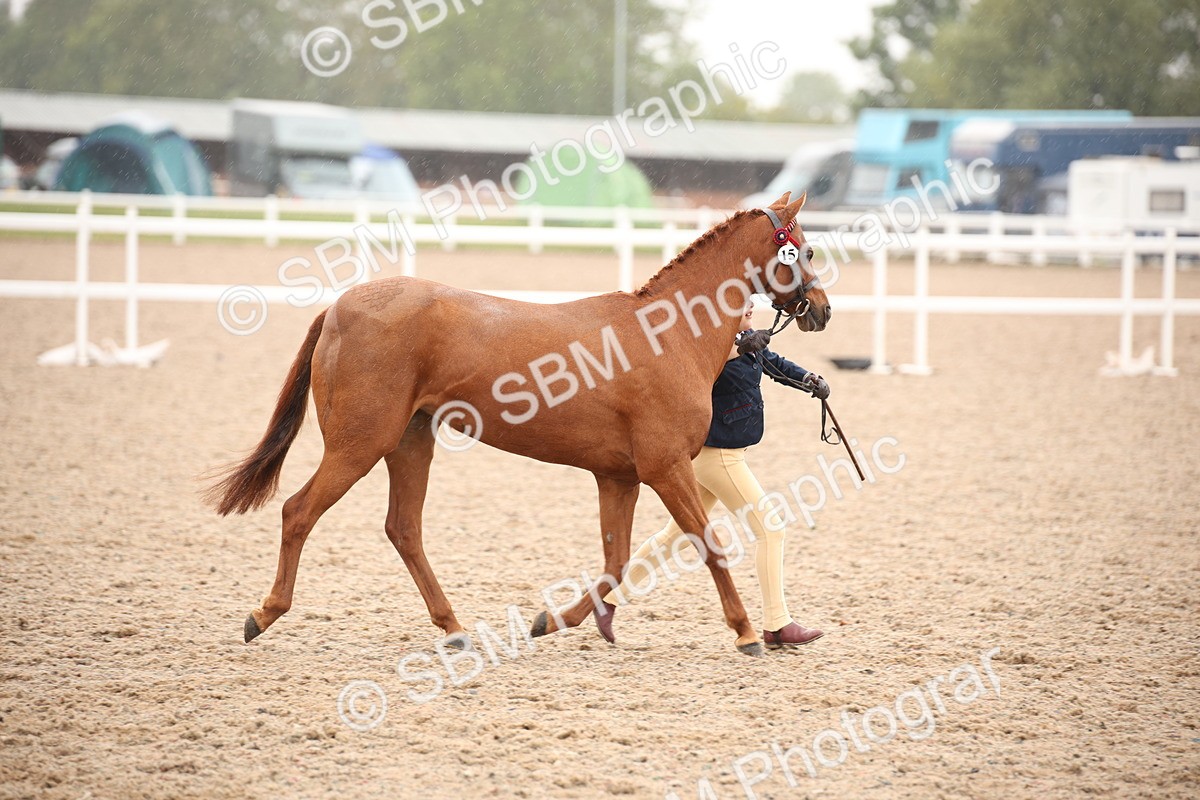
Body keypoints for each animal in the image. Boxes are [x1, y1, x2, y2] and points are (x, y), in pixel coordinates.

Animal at [205, 191, 831, 656]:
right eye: (803, 249)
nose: (821, 310)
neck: (666, 334)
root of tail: (338, 306)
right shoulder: (665, 467)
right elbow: (708, 544)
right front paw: (747, 631)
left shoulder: (620, 477)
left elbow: (616, 561)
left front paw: (552, 620)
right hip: (358, 444)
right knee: (298, 512)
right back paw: (264, 614)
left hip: (410, 442)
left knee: (403, 529)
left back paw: (454, 627)